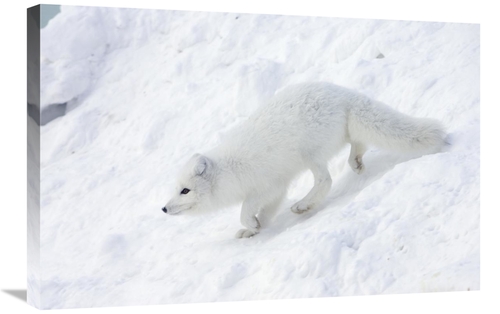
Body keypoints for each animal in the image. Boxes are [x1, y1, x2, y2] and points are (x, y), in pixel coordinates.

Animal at [163, 81, 446, 238]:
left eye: (185, 190)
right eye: (174, 189)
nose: (164, 209)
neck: (229, 171)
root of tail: (342, 93)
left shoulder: (268, 186)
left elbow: (245, 209)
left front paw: (250, 223)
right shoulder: (276, 191)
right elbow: (265, 214)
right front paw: (254, 229)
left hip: (310, 154)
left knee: (325, 180)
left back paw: (303, 205)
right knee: (358, 143)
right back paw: (356, 162)